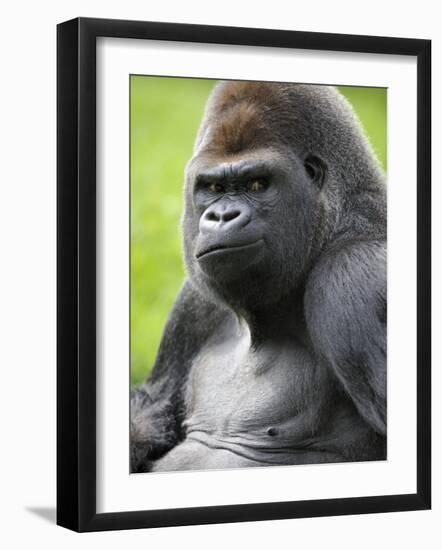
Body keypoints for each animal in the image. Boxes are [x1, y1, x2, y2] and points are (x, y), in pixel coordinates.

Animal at [129, 82, 386, 474]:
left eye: (257, 183)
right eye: (213, 188)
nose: (222, 216)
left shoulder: (354, 275)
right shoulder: (193, 301)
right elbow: (152, 413)